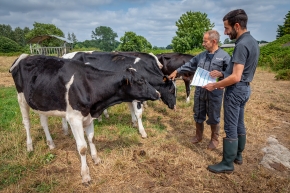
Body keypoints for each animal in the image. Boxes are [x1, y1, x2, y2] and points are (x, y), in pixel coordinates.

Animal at [9, 53, 159, 183]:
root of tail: (25, 55)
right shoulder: (74, 118)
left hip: (41, 101)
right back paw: (29, 146)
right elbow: (82, 148)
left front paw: (96, 159)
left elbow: (91, 139)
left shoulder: (89, 116)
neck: (88, 85)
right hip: (21, 98)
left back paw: (50, 143)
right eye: (140, 81)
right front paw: (85, 174)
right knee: (27, 123)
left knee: (44, 122)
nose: (157, 93)